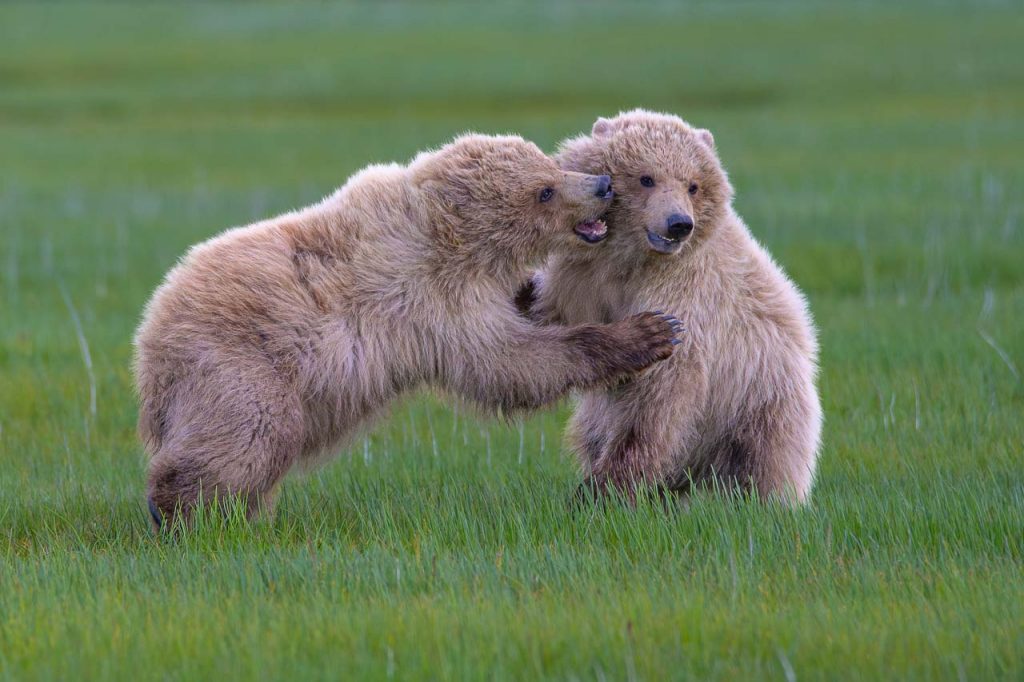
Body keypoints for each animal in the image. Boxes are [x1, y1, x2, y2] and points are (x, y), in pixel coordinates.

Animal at [134, 133, 683, 526]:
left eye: (550, 163)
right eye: (544, 191)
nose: (603, 185)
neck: (451, 239)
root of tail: (150, 332)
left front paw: (531, 290)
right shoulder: (431, 300)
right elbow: (512, 363)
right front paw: (651, 333)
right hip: (237, 362)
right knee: (250, 433)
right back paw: (184, 513)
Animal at [521, 110, 822, 503]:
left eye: (692, 185)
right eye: (646, 178)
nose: (679, 224)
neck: (632, 262)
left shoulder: (685, 293)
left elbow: (657, 396)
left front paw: (605, 488)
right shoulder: (583, 279)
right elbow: (556, 326)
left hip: (757, 399)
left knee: (762, 457)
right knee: (592, 434)